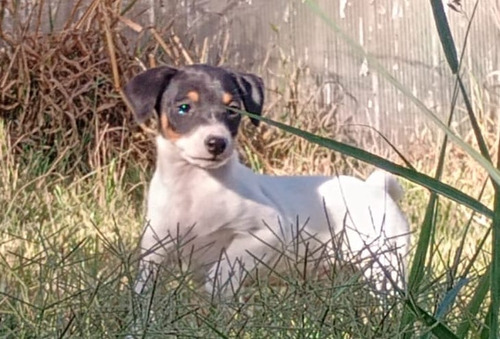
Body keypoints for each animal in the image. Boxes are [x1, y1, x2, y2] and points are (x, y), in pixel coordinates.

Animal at [123, 63, 408, 298]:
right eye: (184, 108)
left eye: (233, 109)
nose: (217, 143)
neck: (196, 188)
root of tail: (375, 187)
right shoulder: (155, 250)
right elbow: (144, 295)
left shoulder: (269, 230)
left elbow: (224, 268)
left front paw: (217, 291)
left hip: (385, 262)